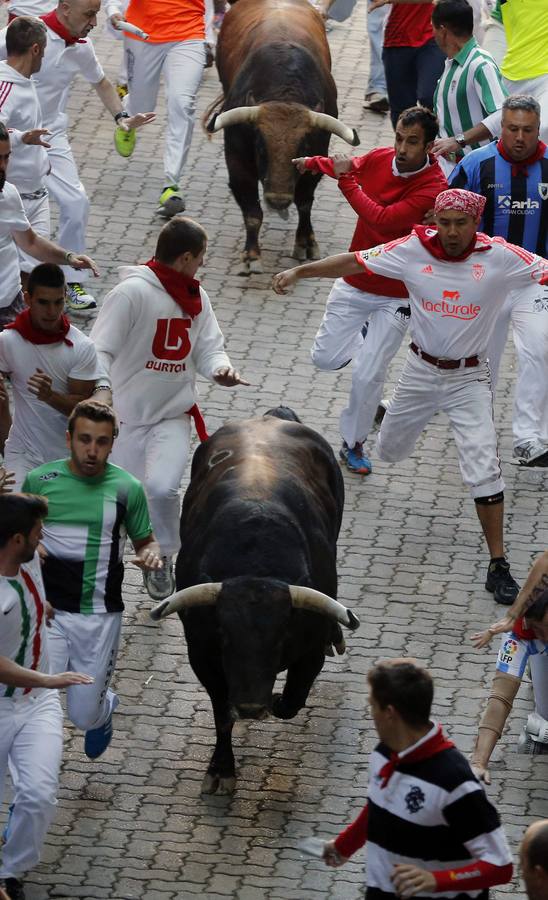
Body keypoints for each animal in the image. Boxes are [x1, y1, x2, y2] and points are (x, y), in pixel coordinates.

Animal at [206, 0, 360, 274]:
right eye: (260, 146)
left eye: (302, 148)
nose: (277, 200)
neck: (284, 90)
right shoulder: (236, 159)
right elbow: (252, 211)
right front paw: (252, 255)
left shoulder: (317, 157)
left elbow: (304, 202)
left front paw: (305, 242)